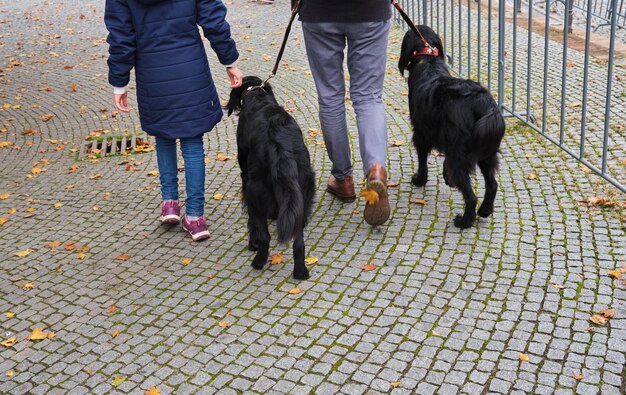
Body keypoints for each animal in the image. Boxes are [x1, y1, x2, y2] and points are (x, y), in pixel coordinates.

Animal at [227, 76, 314, 282]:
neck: (256, 94)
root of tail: (281, 147)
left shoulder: (245, 175)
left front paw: (253, 242)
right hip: (303, 190)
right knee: (299, 242)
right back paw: (300, 271)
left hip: (254, 188)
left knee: (264, 234)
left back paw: (258, 259)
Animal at [398, 25, 504, 229]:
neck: (428, 60)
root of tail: (483, 103)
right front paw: (447, 177)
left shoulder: (421, 134)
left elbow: (422, 160)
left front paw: (420, 180)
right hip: (485, 152)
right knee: (492, 185)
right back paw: (485, 211)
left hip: (461, 154)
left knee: (471, 197)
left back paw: (464, 221)